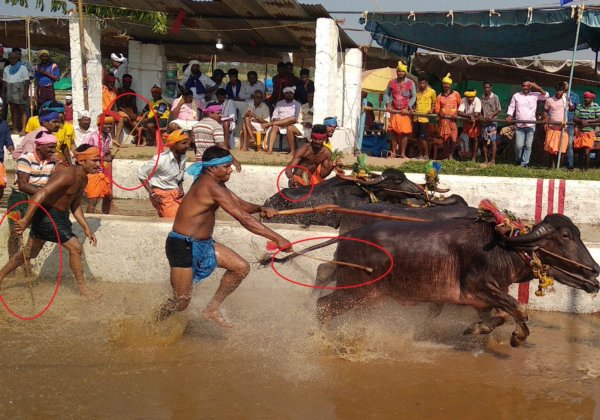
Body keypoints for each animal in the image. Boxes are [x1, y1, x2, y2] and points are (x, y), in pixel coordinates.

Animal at [274, 215, 600, 346]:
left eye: (576, 234)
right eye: (565, 236)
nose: (594, 272)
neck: (504, 248)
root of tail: (347, 237)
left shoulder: (484, 300)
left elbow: (500, 317)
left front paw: (474, 329)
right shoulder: (481, 288)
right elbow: (518, 310)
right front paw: (518, 337)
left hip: (368, 299)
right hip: (356, 292)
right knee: (324, 305)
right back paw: (324, 340)